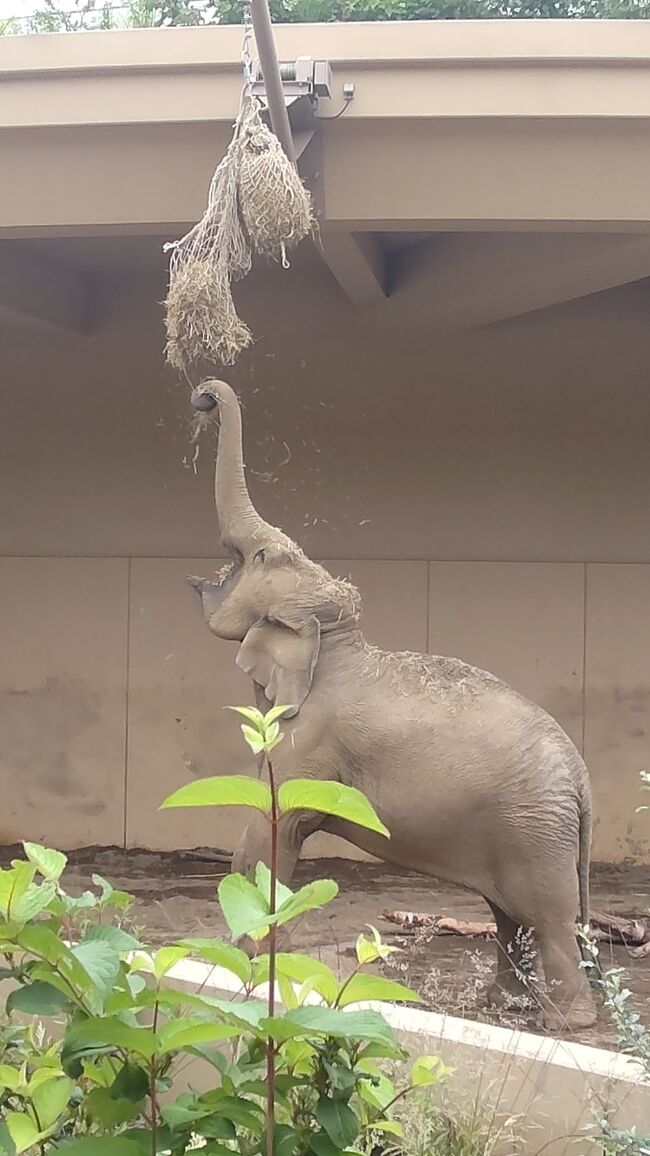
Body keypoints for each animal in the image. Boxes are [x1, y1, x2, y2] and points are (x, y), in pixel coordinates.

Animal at [186, 376, 592, 1031]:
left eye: (261, 557)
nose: (202, 395)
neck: (335, 640)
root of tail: (581, 777)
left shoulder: (309, 739)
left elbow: (273, 825)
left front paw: (245, 963)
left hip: (536, 831)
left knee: (546, 917)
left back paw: (564, 1024)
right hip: (523, 828)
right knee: (509, 913)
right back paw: (501, 1005)